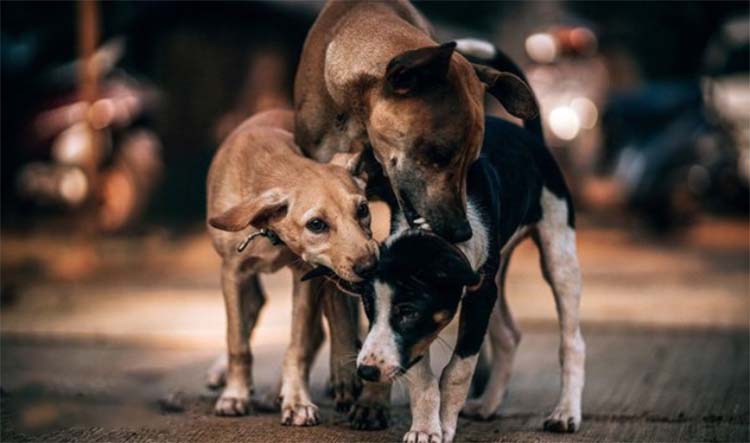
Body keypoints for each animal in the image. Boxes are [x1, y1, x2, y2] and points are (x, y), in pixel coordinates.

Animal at [206, 108, 378, 426]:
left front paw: (297, 400)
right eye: (316, 224)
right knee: (252, 309)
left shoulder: (305, 275)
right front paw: (234, 395)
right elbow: (237, 341)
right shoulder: (232, 272)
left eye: (362, 209)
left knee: (322, 328)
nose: (371, 266)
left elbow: (297, 347)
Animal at [352, 106, 588, 440]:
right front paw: (425, 428)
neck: (436, 227)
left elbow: (458, 371)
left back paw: (565, 412)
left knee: (572, 342)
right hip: (498, 273)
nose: (367, 371)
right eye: (369, 310)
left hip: (559, 253)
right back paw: (488, 404)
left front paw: (445, 426)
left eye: (408, 312)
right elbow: (421, 376)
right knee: (508, 336)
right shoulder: (458, 307)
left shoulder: (478, 295)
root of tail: (532, 137)